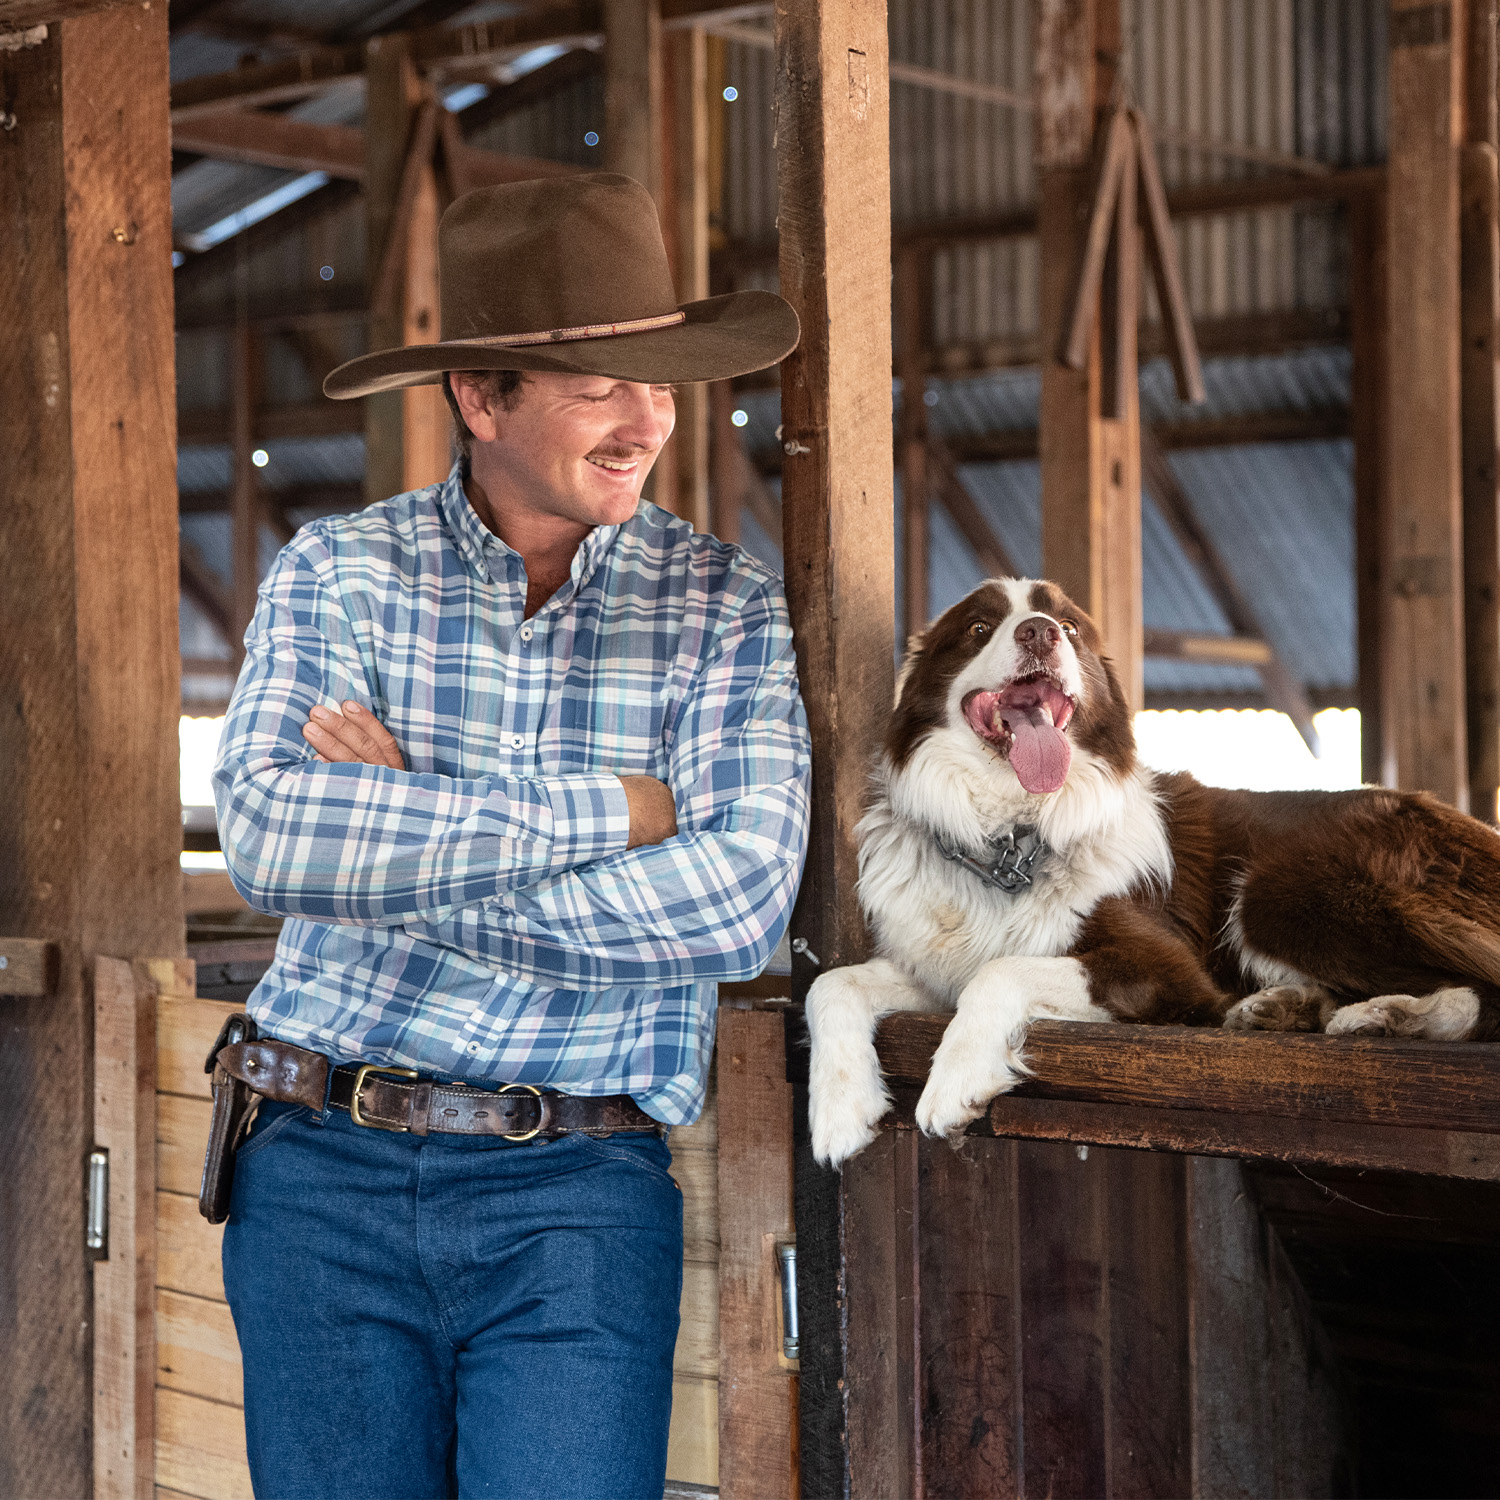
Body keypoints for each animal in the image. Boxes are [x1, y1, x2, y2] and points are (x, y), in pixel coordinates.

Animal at [810, 579, 1500, 1164]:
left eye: (1069, 625)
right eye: (979, 626)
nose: (1039, 633)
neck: (1009, 841)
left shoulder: (1168, 968)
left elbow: (999, 970)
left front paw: (954, 1080)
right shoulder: (931, 967)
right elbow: (830, 985)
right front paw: (839, 1109)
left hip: (1280, 891)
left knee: (1480, 990)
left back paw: (1384, 1016)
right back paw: (1289, 1007)